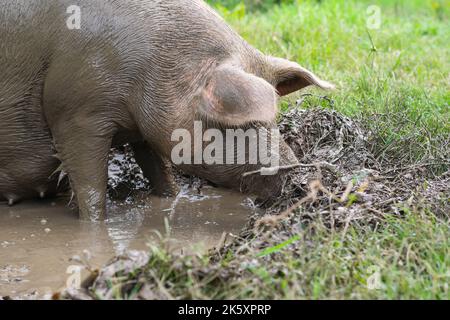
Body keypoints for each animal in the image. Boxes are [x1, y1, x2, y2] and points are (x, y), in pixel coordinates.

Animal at [0, 0, 330, 220]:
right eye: (241, 121)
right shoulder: (77, 114)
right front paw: (95, 223)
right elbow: (91, 187)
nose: (297, 172)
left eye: (274, 118)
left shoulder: (142, 128)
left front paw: (172, 198)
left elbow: (159, 170)